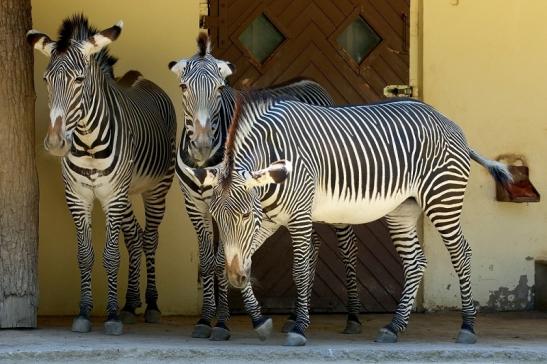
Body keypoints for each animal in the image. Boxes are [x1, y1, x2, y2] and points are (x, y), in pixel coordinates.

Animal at [26, 14, 177, 336]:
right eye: (45, 80)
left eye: (79, 80)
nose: (55, 144)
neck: (88, 142)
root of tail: (138, 76)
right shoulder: (78, 197)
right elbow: (85, 255)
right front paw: (85, 312)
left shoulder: (111, 196)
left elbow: (110, 255)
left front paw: (111, 316)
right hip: (126, 193)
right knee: (134, 237)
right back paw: (130, 304)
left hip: (156, 188)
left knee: (150, 238)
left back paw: (152, 305)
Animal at [167, 32, 364, 342]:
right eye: (183, 87)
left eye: (220, 88)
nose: (202, 145)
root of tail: (311, 82)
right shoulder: (195, 206)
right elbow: (209, 260)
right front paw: (205, 319)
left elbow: (224, 259)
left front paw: (224, 323)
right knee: (313, 246)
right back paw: (295, 316)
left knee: (348, 247)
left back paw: (353, 316)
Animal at [188, 92, 512, 346]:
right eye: (215, 217)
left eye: (244, 215)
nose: (235, 278)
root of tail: (448, 121)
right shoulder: (267, 221)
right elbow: (232, 260)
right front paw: (258, 322)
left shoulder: (298, 216)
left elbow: (300, 271)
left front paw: (299, 328)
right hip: (402, 209)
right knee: (416, 262)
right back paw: (394, 327)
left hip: (442, 198)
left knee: (462, 254)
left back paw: (467, 326)